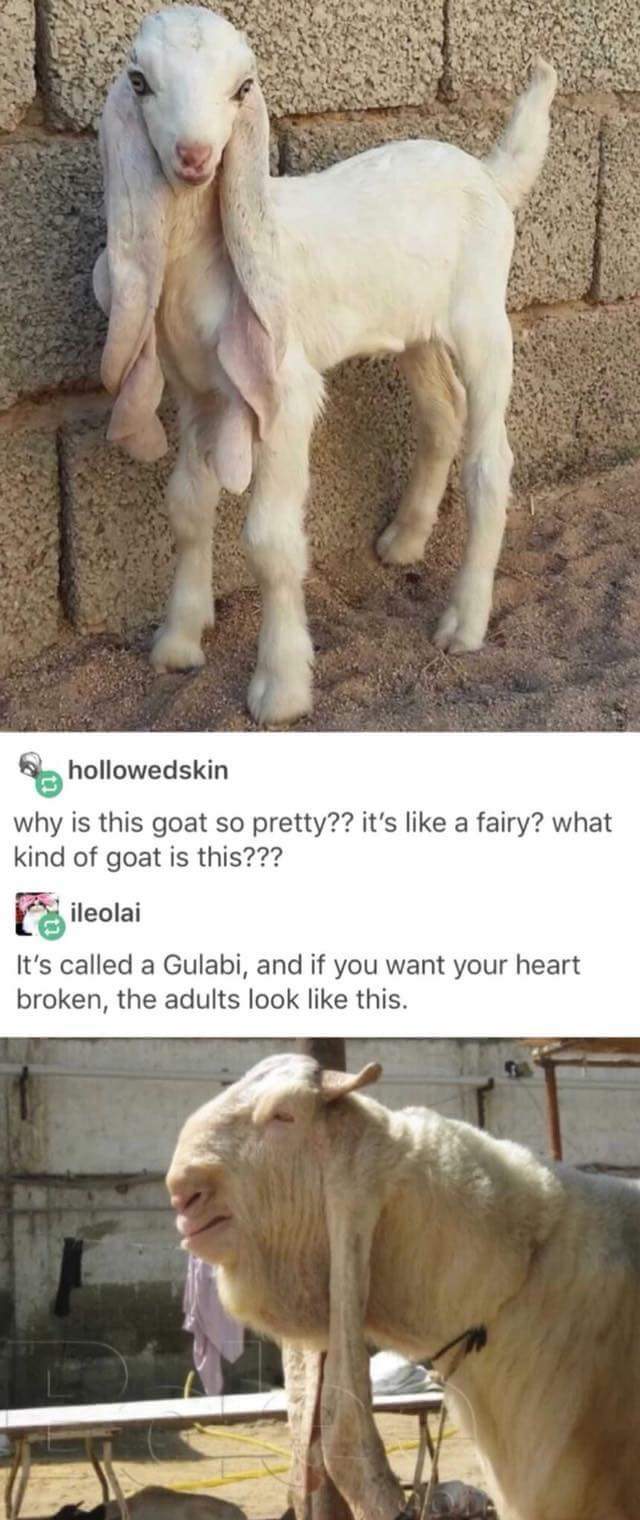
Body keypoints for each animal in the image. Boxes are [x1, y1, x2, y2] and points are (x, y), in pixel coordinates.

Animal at [94, 6, 557, 725]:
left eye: (243, 88)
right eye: (139, 81)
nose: (195, 158)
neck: (204, 257)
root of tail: (487, 172)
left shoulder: (283, 390)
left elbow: (270, 540)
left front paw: (280, 687)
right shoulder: (198, 392)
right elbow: (188, 507)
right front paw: (178, 641)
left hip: (483, 317)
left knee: (490, 460)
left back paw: (464, 622)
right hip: (415, 329)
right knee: (441, 415)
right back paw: (404, 541)